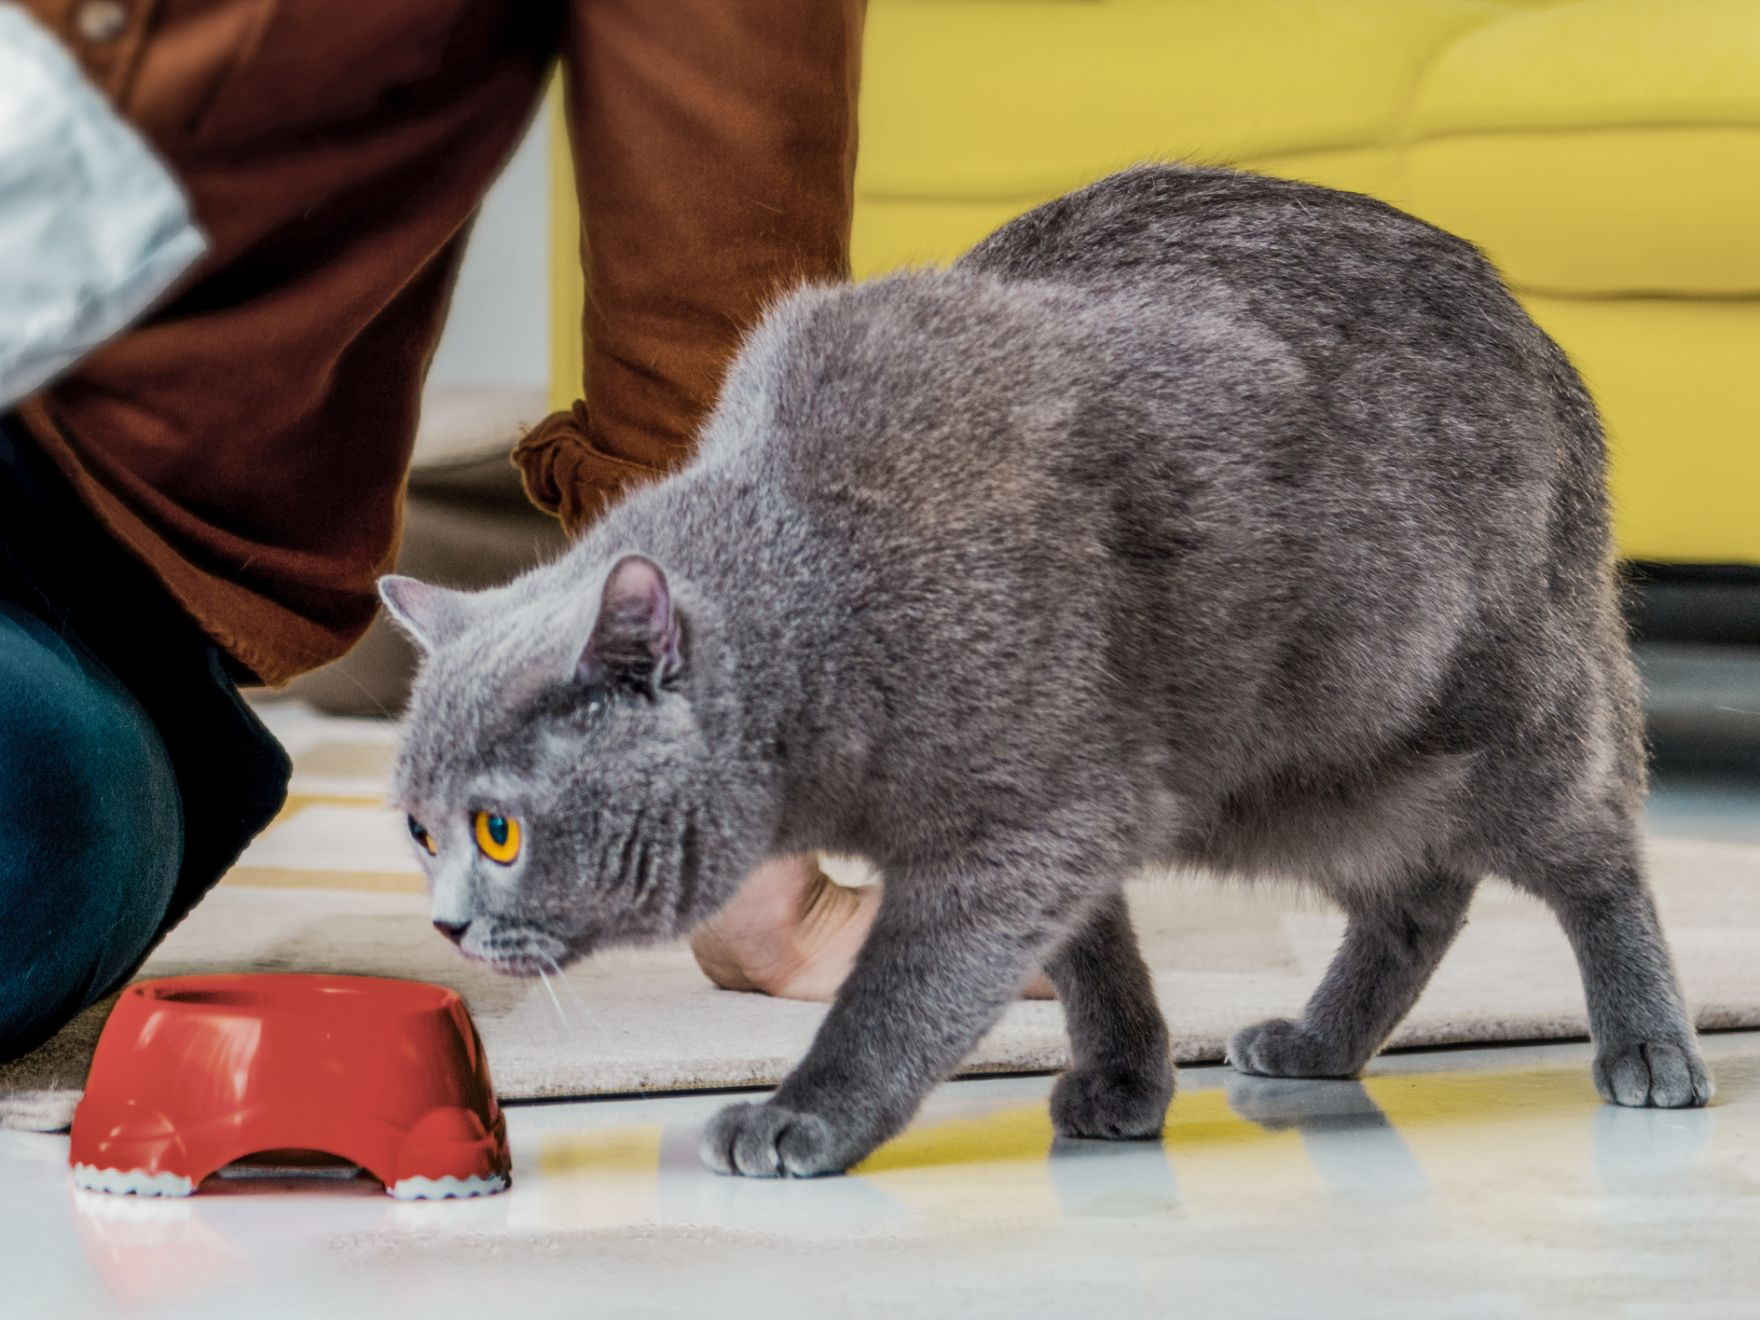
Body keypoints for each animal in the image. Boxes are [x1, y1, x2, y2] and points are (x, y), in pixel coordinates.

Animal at [378, 160, 1710, 1182]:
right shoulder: (1079, 804)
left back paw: (1649, 1051)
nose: (445, 923)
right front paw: (1122, 1079)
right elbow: (1087, 952)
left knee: (1592, 855)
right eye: (416, 830)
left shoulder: (1025, 819)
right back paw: (1316, 1044)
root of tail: (1531, 329)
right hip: (1311, 778)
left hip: (1483, 705)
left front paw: (801, 1116)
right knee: (1419, 893)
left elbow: (902, 990)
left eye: (496, 831)